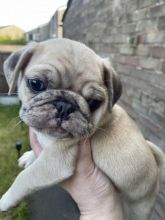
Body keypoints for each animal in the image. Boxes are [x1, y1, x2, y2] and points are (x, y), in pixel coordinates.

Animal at [0, 38, 164, 219]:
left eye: (93, 102)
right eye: (36, 84)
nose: (64, 106)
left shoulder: (57, 161)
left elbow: (25, 178)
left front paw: (5, 200)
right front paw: (29, 156)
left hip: (139, 207)